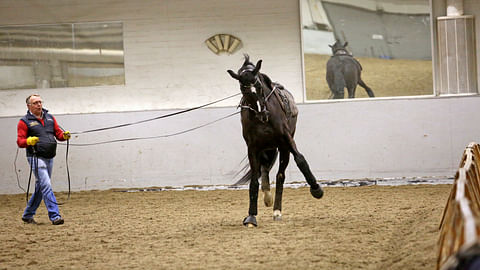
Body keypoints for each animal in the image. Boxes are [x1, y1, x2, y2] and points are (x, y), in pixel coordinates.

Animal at [227, 55, 324, 228]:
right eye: (244, 89)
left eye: (258, 85)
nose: (262, 113)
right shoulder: (252, 148)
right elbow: (254, 180)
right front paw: (251, 217)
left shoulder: (286, 139)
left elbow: (300, 160)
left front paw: (316, 190)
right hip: (266, 148)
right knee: (264, 169)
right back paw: (267, 197)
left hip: (282, 148)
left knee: (280, 175)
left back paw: (277, 210)